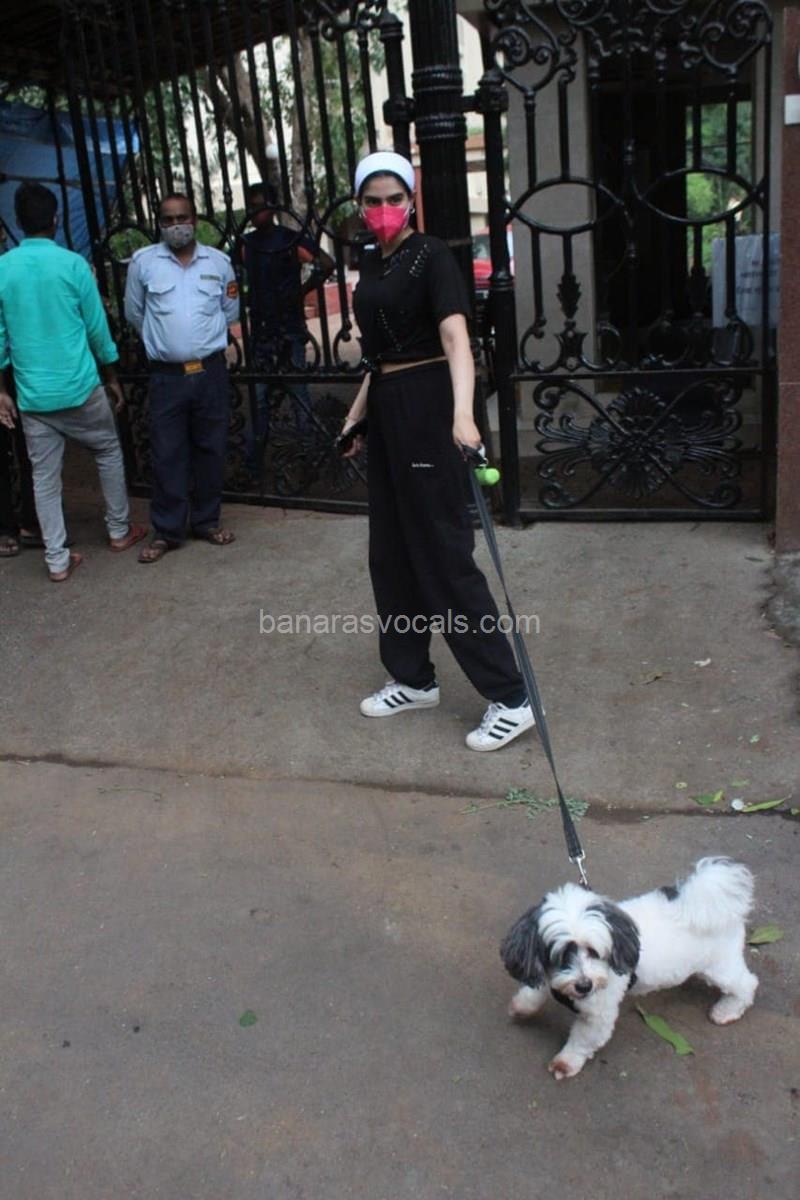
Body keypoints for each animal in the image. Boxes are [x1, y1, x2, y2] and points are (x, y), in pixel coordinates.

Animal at [501, 857, 758, 1080]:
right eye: (561, 955)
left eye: (594, 952)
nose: (584, 986)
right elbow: (537, 989)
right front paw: (523, 1005)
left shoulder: (598, 1014)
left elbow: (582, 1039)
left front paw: (566, 1061)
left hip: (720, 967)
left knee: (747, 984)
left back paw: (727, 1010)